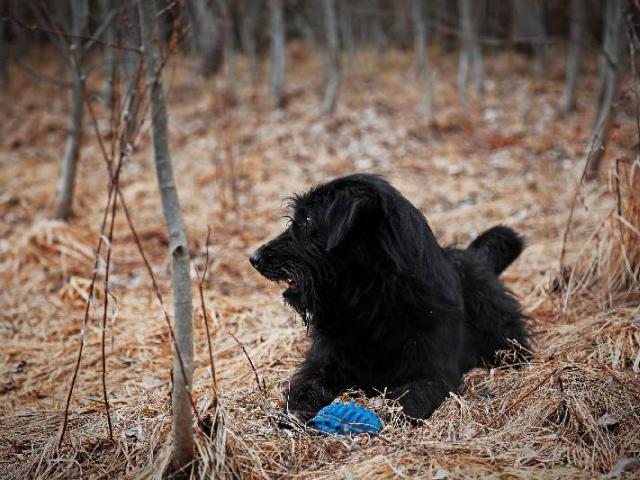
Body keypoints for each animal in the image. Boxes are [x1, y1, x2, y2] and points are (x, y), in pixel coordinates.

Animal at [251, 173, 528, 420]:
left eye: (307, 219)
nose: (254, 258)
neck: (370, 302)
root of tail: (477, 258)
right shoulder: (322, 364)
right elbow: (306, 385)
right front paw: (296, 410)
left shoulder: (432, 375)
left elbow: (412, 397)